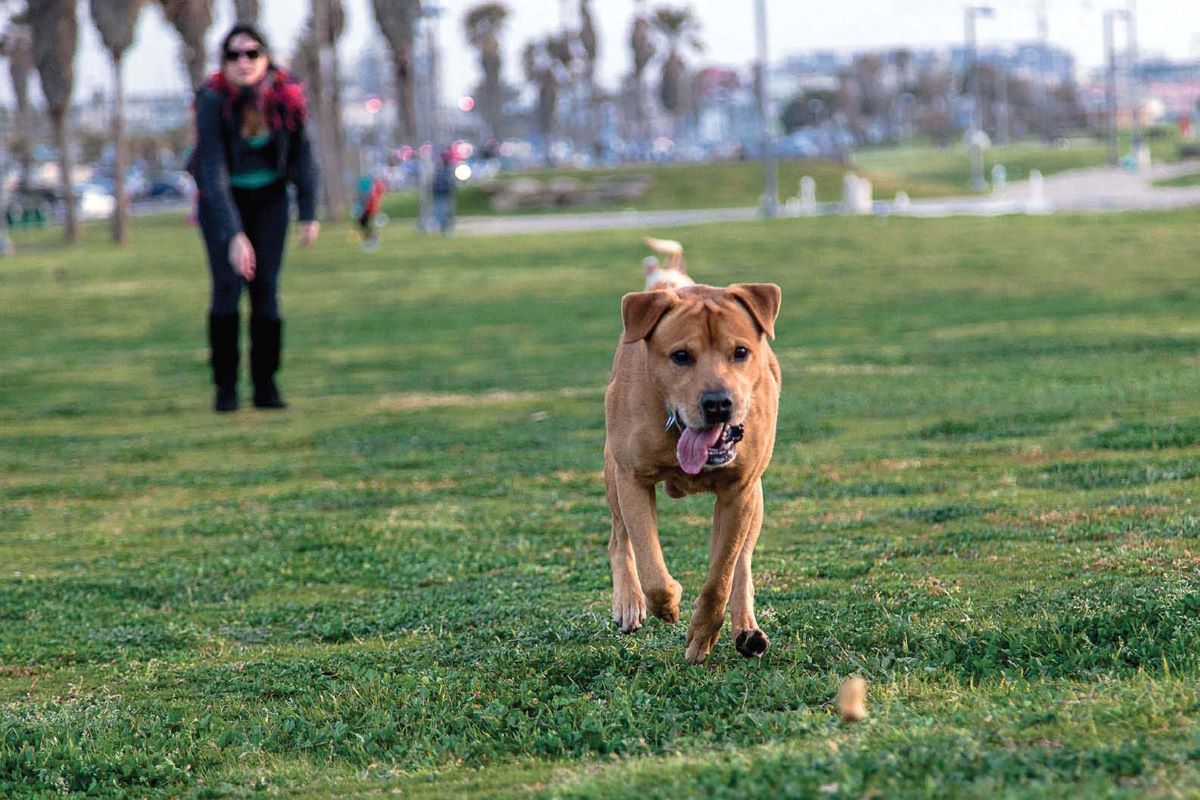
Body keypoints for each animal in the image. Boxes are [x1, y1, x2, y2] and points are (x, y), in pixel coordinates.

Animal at [604, 281, 782, 662]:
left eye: (740, 351)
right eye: (681, 356)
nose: (717, 403)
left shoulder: (739, 491)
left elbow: (721, 576)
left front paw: (702, 634)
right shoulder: (632, 478)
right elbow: (652, 569)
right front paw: (669, 604)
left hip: (756, 496)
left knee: (742, 563)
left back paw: (747, 630)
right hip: (612, 469)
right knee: (618, 537)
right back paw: (628, 602)